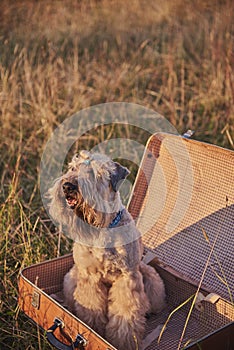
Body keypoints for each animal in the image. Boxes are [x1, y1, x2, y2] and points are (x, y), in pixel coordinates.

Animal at [48, 150, 165, 350]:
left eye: (93, 173)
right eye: (72, 168)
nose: (67, 186)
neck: (102, 228)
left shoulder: (127, 280)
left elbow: (125, 319)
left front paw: (123, 343)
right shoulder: (90, 278)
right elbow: (92, 310)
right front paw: (93, 329)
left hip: (150, 276)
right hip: (71, 277)